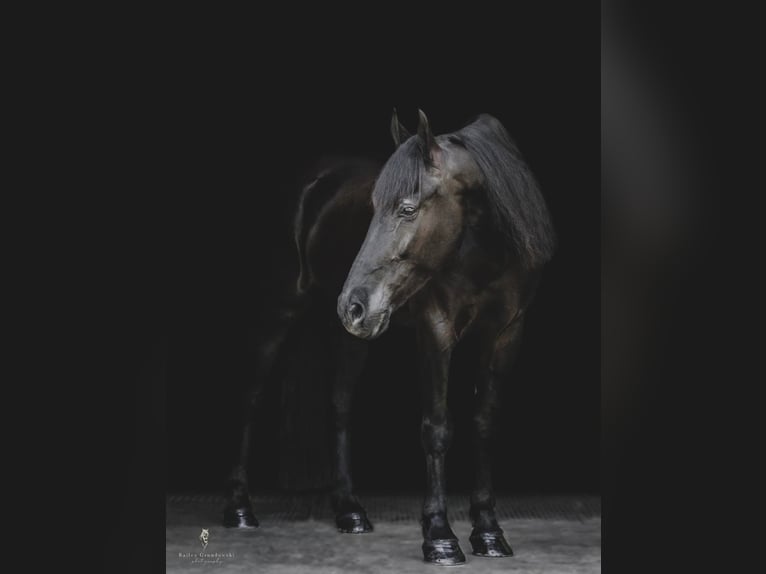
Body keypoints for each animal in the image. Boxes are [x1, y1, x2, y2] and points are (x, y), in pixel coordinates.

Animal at [224, 109, 560, 568]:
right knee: (251, 398)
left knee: (340, 405)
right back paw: (240, 509)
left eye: (407, 208)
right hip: (281, 310)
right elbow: (436, 428)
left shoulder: (506, 335)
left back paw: (350, 511)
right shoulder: (436, 330)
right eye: (373, 208)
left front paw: (489, 532)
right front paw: (440, 536)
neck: (484, 249)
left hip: (351, 337)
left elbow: (484, 425)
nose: (352, 303)